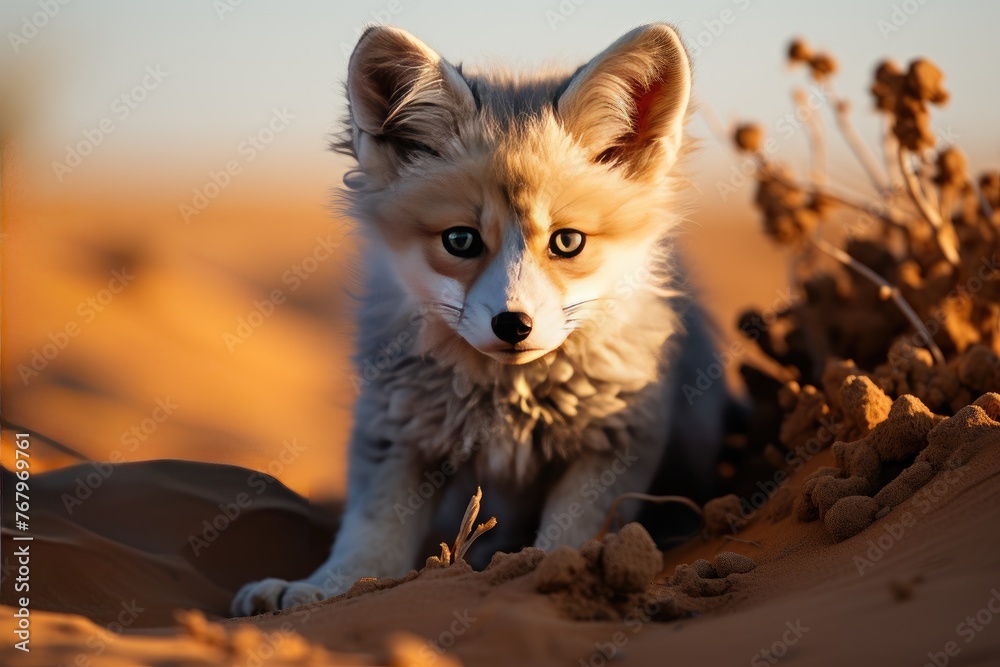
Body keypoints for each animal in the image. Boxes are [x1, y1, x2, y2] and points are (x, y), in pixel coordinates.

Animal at [230, 19, 732, 616]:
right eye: (461, 240)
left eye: (567, 241)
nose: (513, 325)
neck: (506, 401)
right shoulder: (396, 429)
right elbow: (369, 538)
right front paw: (323, 589)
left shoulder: (614, 440)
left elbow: (570, 533)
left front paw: (559, 575)